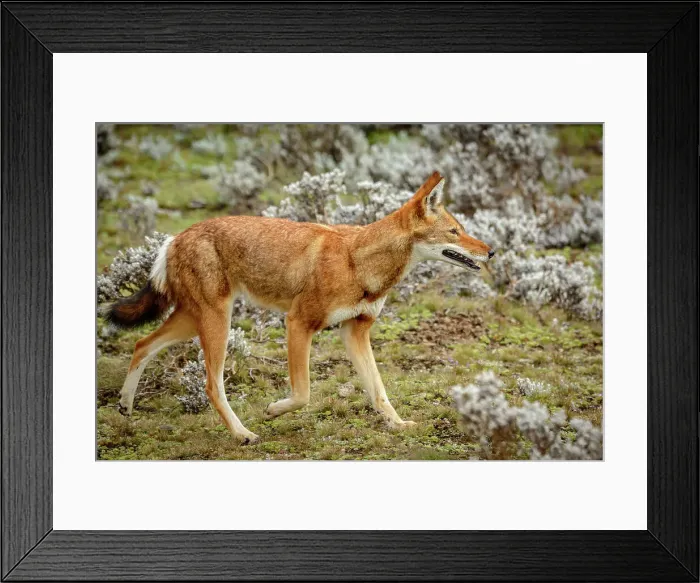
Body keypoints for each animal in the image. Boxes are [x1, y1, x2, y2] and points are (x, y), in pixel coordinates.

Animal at [107, 172, 494, 444]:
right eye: (455, 232)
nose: (491, 251)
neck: (358, 262)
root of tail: (175, 237)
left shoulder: (355, 332)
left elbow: (378, 390)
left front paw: (398, 425)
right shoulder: (298, 323)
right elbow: (304, 394)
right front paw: (272, 410)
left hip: (195, 320)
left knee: (141, 344)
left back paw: (125, 405)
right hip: (217, 323)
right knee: (210, 384)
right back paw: (243, 434)